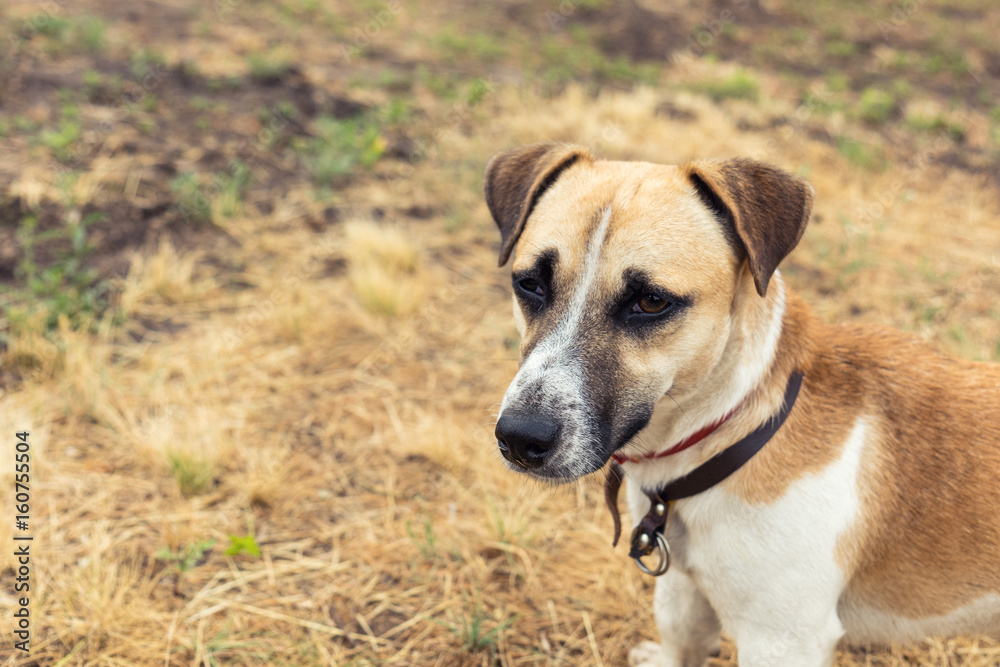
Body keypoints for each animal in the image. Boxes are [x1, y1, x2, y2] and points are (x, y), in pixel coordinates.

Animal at [482, 145, 1000, 667]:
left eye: (651, 301)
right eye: (530, 284)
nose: (519, 438)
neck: (731, 432)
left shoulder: (782, 639)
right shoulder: (686, 590)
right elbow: (680, 639)